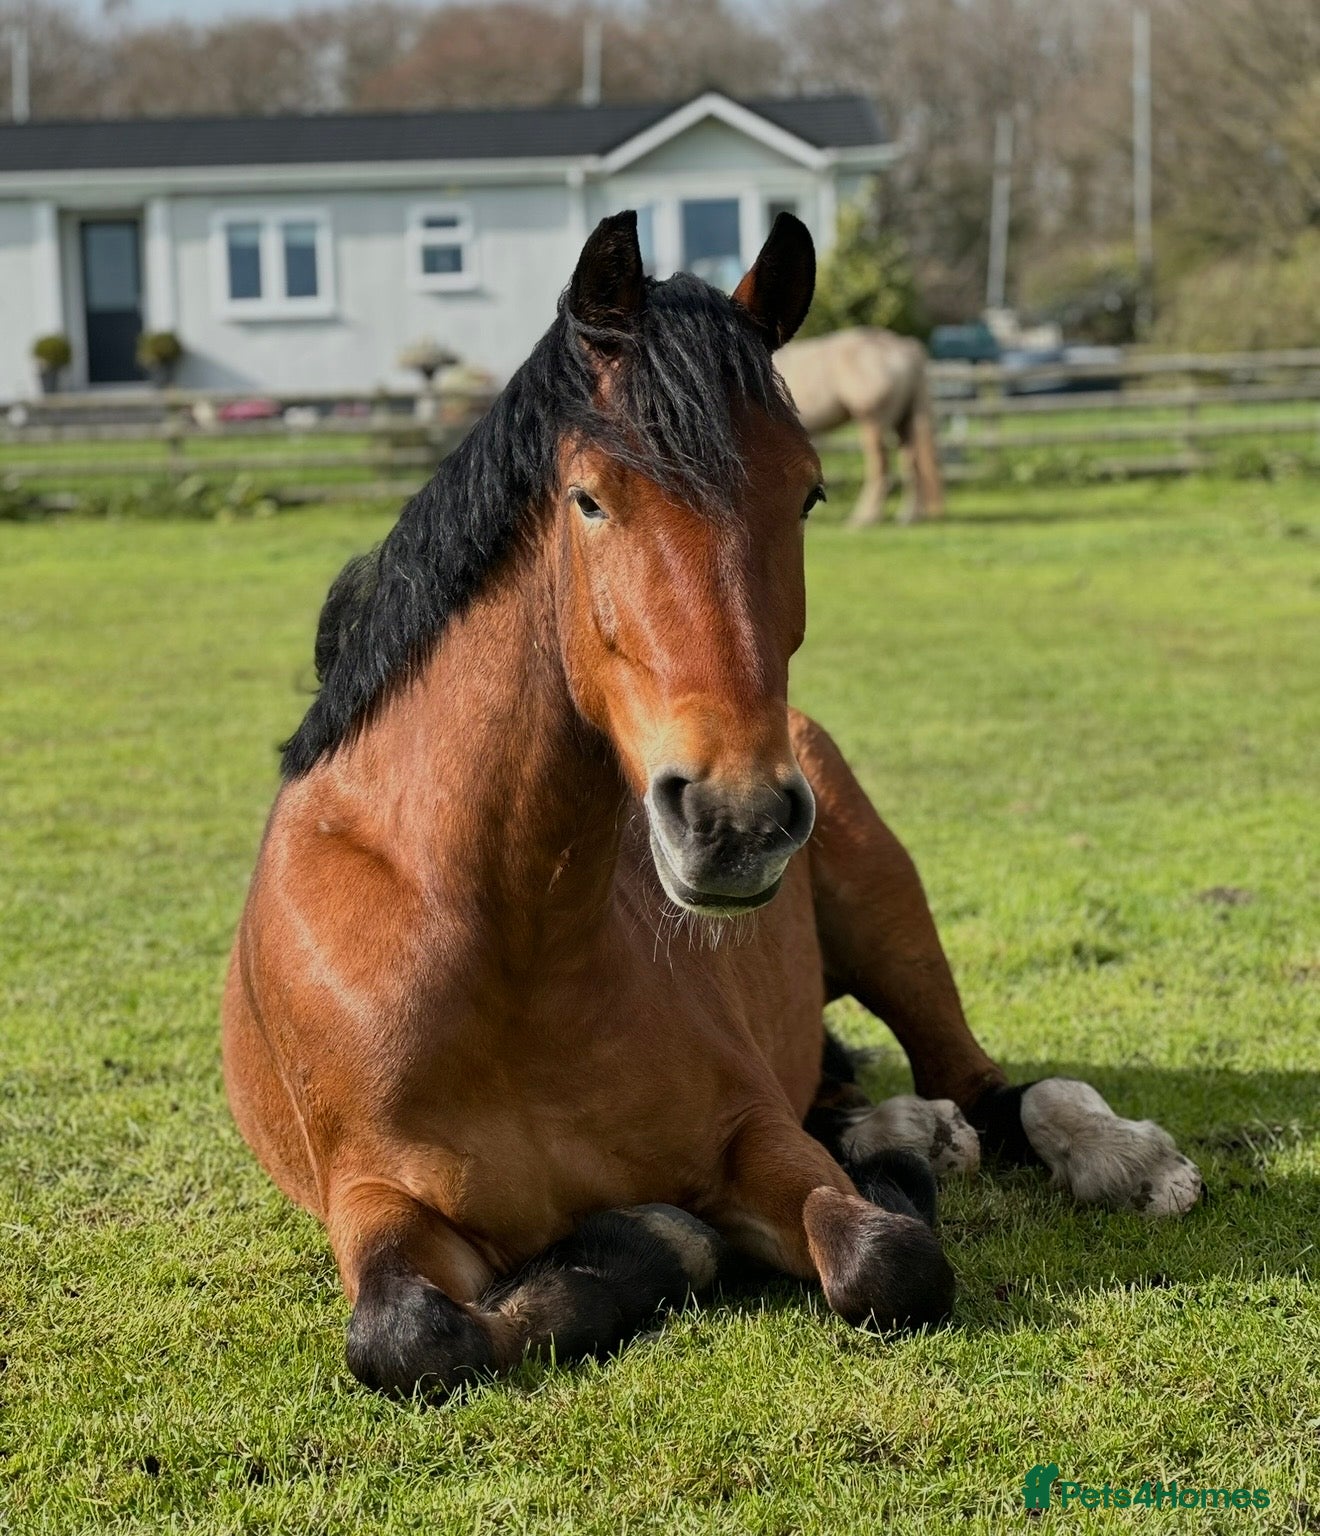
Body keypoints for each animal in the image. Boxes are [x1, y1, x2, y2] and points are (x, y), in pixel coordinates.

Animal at [775, 327, 945, 526]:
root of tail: (904, 347)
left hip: (873, 423)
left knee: (880, 468)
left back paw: (866, 517)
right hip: (904, 422)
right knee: (912, 464)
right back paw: (908, 516)